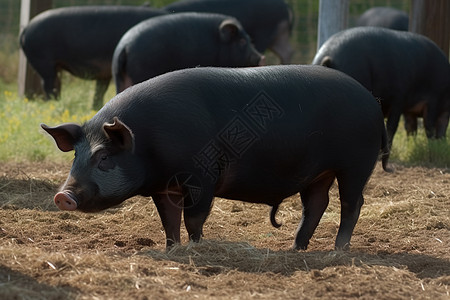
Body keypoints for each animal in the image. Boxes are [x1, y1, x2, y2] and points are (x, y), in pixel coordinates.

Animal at [41, 65, 390, 251]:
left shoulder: (202, 177)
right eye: (76, 155)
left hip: (356, 163)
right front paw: (171, 249)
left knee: (352, 203)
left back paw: (338, 251)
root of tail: (373, 103)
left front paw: (196, 247)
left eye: (103, 157)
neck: (148, 145)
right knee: (316, 204)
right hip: (319, 172)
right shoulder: (163, 187)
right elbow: (168, 220)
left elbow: (193, 218)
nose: (63, 195)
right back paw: (294, 248)